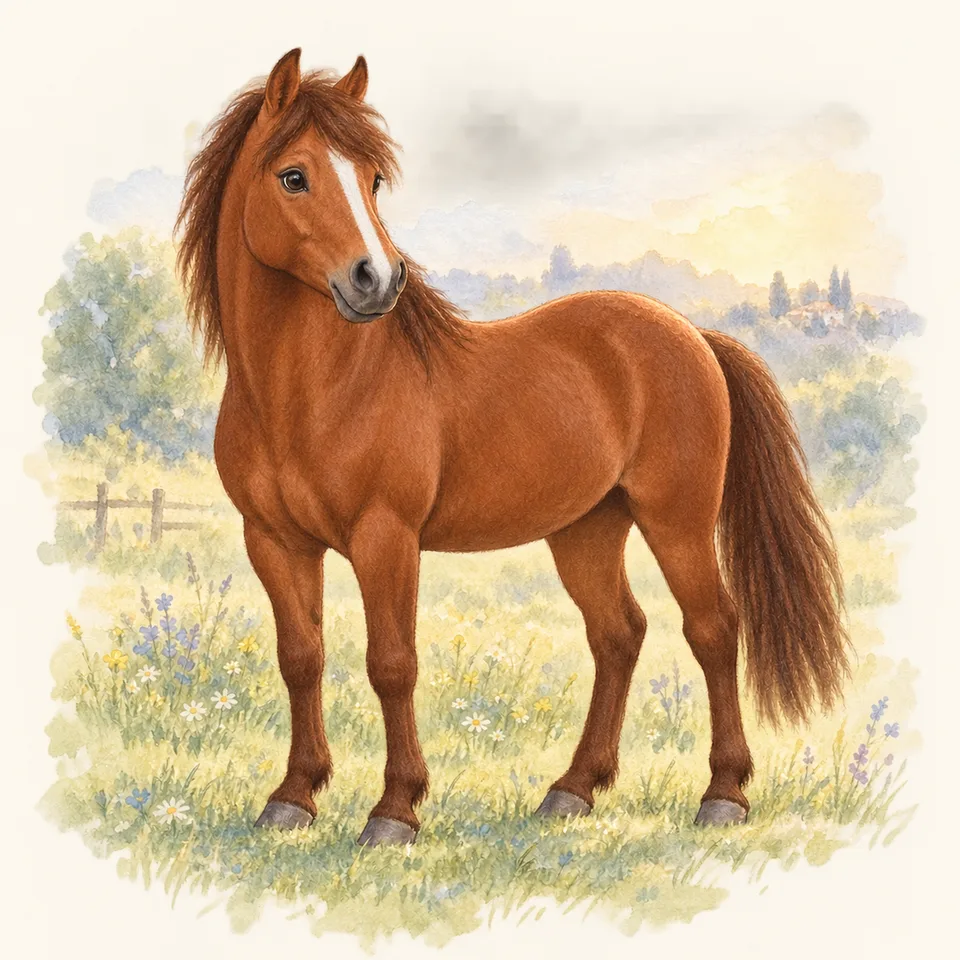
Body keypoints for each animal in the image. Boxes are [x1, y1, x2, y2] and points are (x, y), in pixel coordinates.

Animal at [175, 48, 848, 847]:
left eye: (372, 179)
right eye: (293, 176)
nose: (377, 280)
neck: (314, 392)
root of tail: (693, 335)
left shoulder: (385, 537)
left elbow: (392, 663)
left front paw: (395, 810)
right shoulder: (274, 541)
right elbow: (301, 658)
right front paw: (293, 797)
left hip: (676, 521)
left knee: (712, 629)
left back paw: (723, 794)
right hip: (587, 529)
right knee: (618, 634)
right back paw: (573, 789)